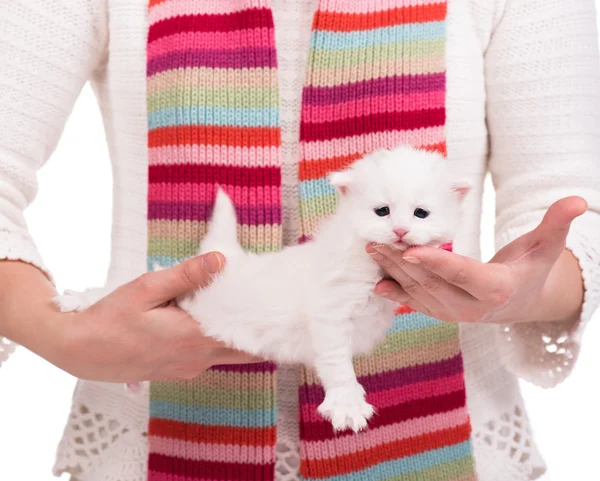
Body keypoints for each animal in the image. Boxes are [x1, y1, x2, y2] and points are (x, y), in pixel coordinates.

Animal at [55, 146, 468, 432]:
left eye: (420, 213)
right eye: (382, 211)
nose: (399, 231)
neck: (367, 261)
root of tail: (223, 255)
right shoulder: (331, 313)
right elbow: (337, 362)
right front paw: (347, 404)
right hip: (180, 290)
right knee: (117, 287)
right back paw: (79, 301)